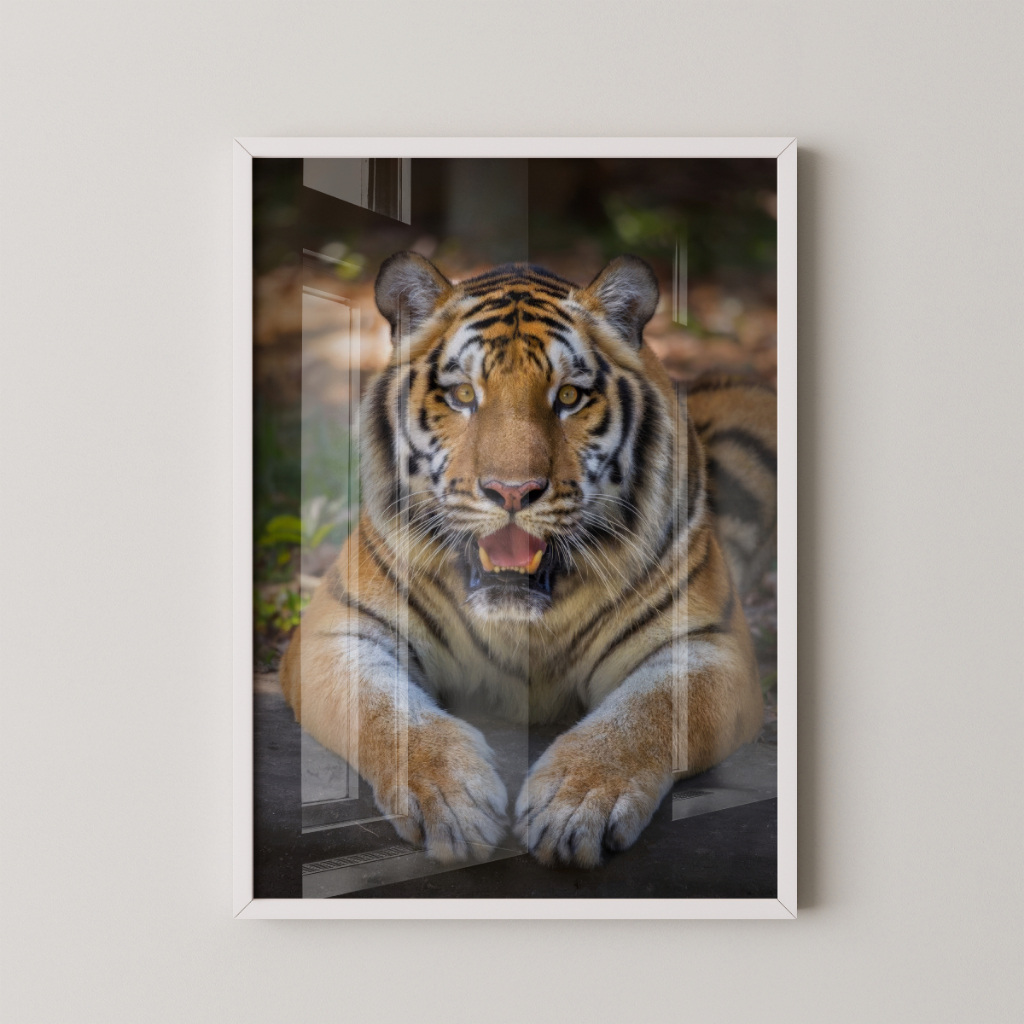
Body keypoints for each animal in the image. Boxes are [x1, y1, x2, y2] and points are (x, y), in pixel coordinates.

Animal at [280, 252, 776, 869]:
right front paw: (451, 796)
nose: (512, 492)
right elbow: (383, 711)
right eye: (462, 395)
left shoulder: (710, 646)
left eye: (568, 398)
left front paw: (576, 802)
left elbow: (647, 715)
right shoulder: (337, 631)